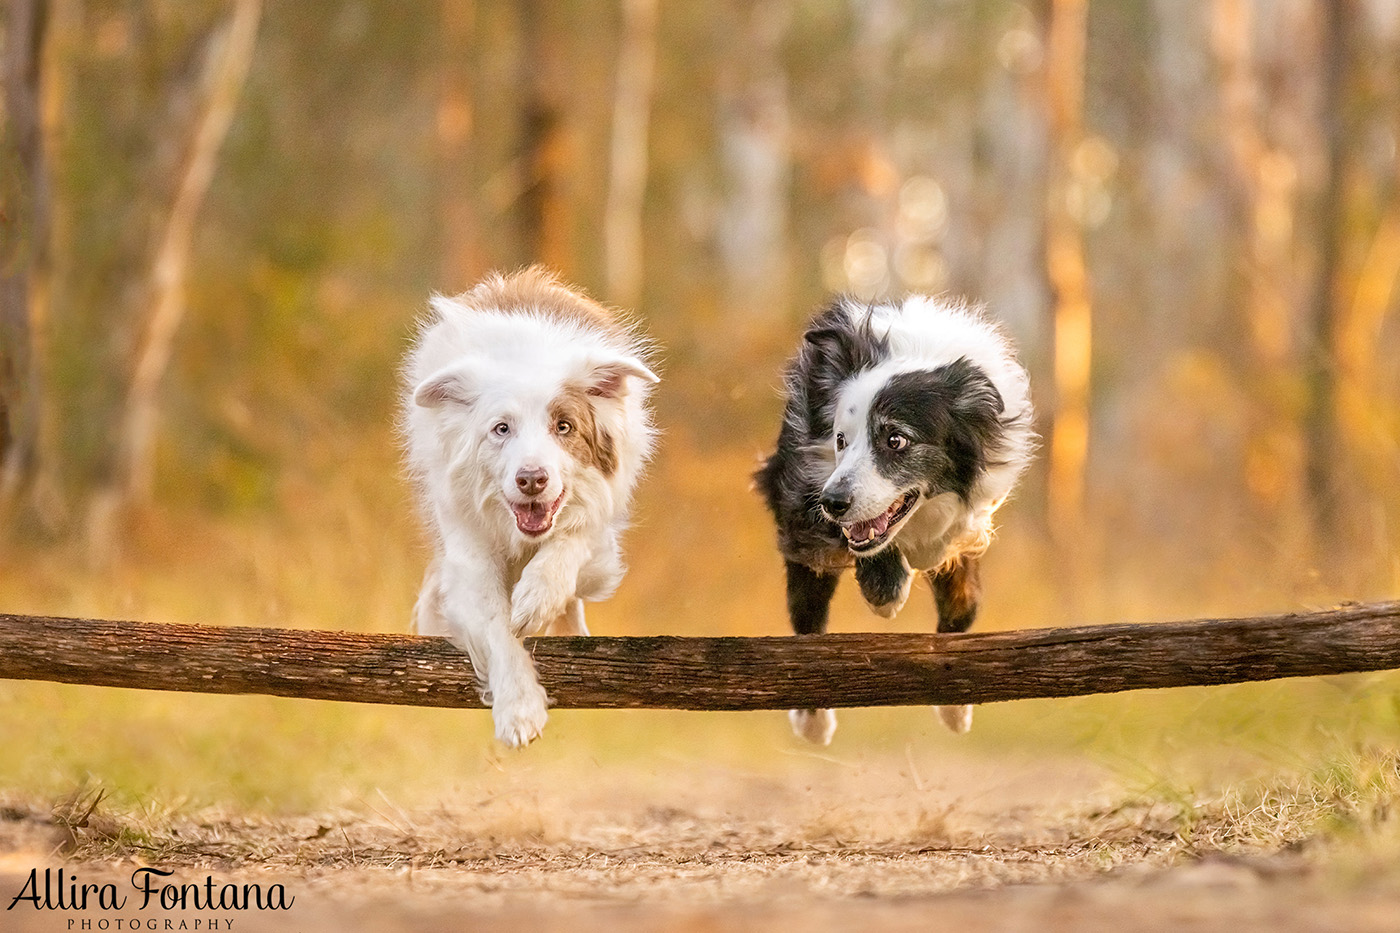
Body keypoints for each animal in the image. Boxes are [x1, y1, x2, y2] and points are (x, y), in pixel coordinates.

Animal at [403, 264, 658, 745]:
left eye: (564, 426)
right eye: (501, 429)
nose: (532, 480)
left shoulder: (599, 522)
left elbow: (569, 544)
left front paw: (537, 600)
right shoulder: (467, 545)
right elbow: (496, 626)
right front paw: (519, 709)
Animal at [756, 292, 1041, 739]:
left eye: (895, 440)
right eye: (841, 439)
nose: (832, 502)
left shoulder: (970, 521)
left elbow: (964, 601)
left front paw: (955, 705)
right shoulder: (805, 485)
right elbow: (857, 551)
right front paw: (886, 591)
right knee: (806, 610)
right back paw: (813, 720)